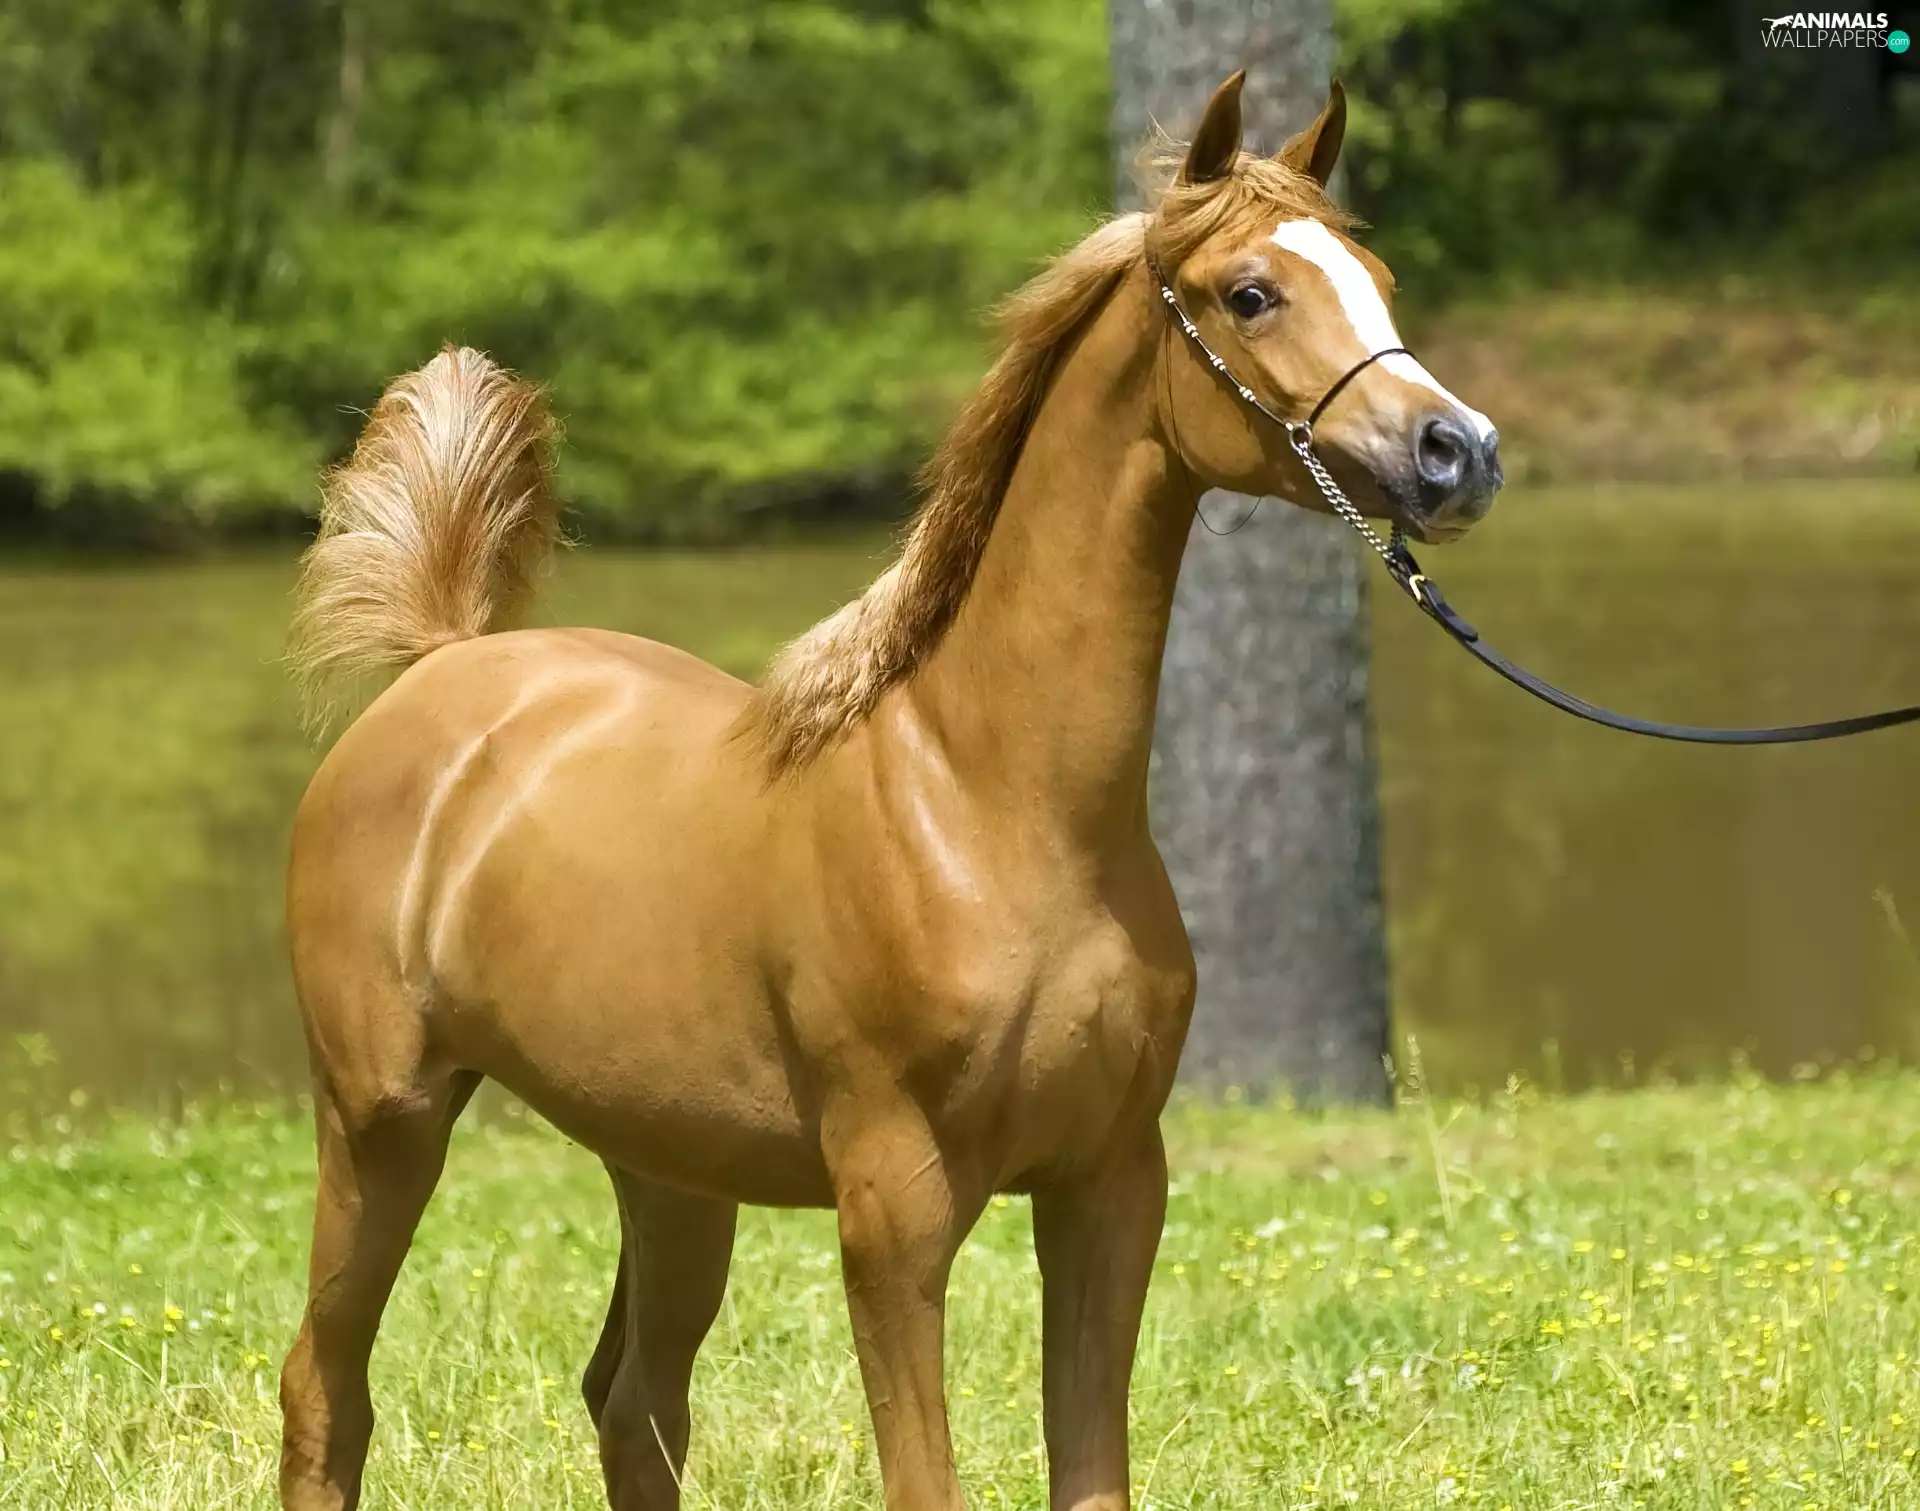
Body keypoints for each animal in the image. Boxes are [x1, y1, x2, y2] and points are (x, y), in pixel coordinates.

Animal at [277, 70, 1500, 1511]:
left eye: (1377, 276)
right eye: (1250, 291)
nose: (1457, 452)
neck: (993, 802)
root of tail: (443, 663)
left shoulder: (1109, 1182)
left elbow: (1092, 1473)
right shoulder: (894, 1204)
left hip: (670, 1167)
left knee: (633, 1405)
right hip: (382, 1120)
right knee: (326, 1391)